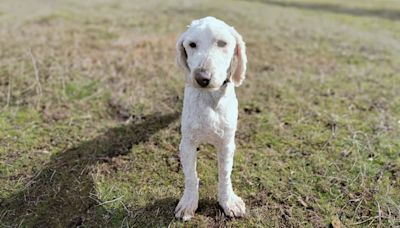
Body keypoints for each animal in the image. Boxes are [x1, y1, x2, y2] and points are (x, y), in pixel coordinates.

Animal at [175, 16, 247, 220]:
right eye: (192, 45)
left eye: (222, 43)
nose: (201, 78)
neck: (209, 98)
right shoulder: (187, 144)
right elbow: (191, 176)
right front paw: (188, 203)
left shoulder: (227, 144)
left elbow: (225, 174)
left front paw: (228, 201)